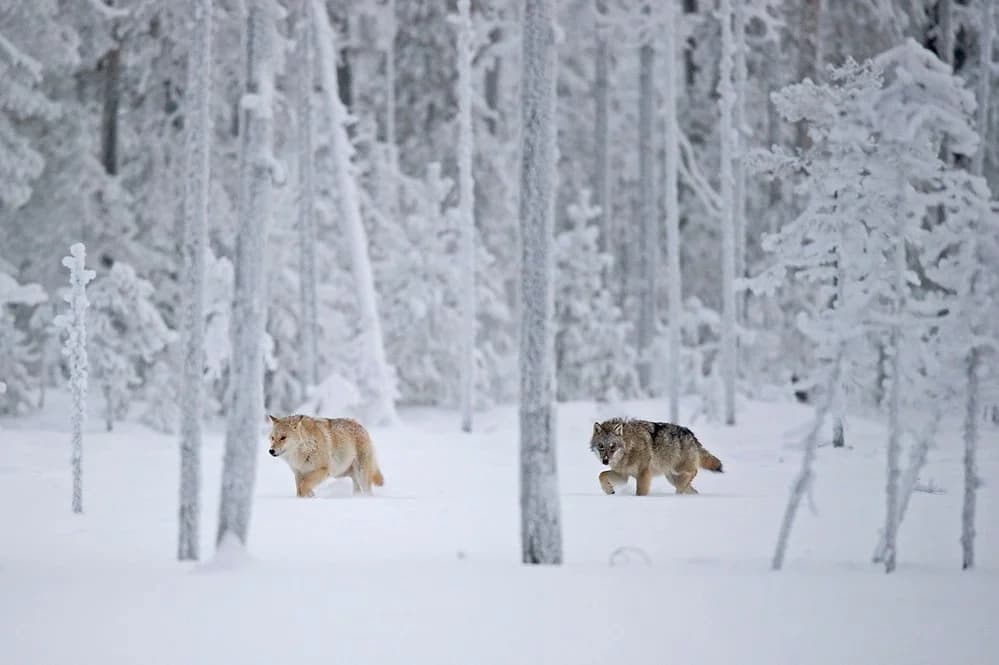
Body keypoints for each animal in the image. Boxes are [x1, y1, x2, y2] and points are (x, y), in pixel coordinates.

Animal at [589, 418, 723, 495]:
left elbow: (640, 493)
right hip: (672, 478)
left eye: (613, 446)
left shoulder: (643, 474)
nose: (605, 461)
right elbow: (601, 475)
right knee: (691, 489)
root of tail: (691, 435)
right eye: (601, 446)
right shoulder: (623, 475)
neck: (629, 447)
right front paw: (608, 490)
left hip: (678, 470)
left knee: (694, 471)